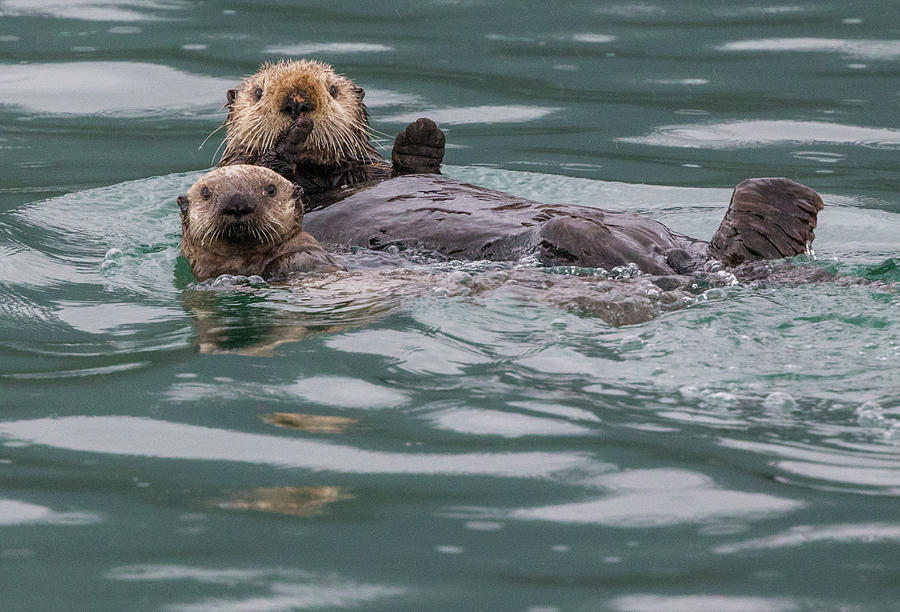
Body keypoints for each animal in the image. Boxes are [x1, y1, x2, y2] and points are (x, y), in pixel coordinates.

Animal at [216, 59, 824, 274]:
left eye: (335, 89)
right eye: (261, 92)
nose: (299, 100)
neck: (330, 178)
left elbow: (414, 168)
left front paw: (422, 133)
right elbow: (263, 171)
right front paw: (288, 140)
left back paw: (782, 209)